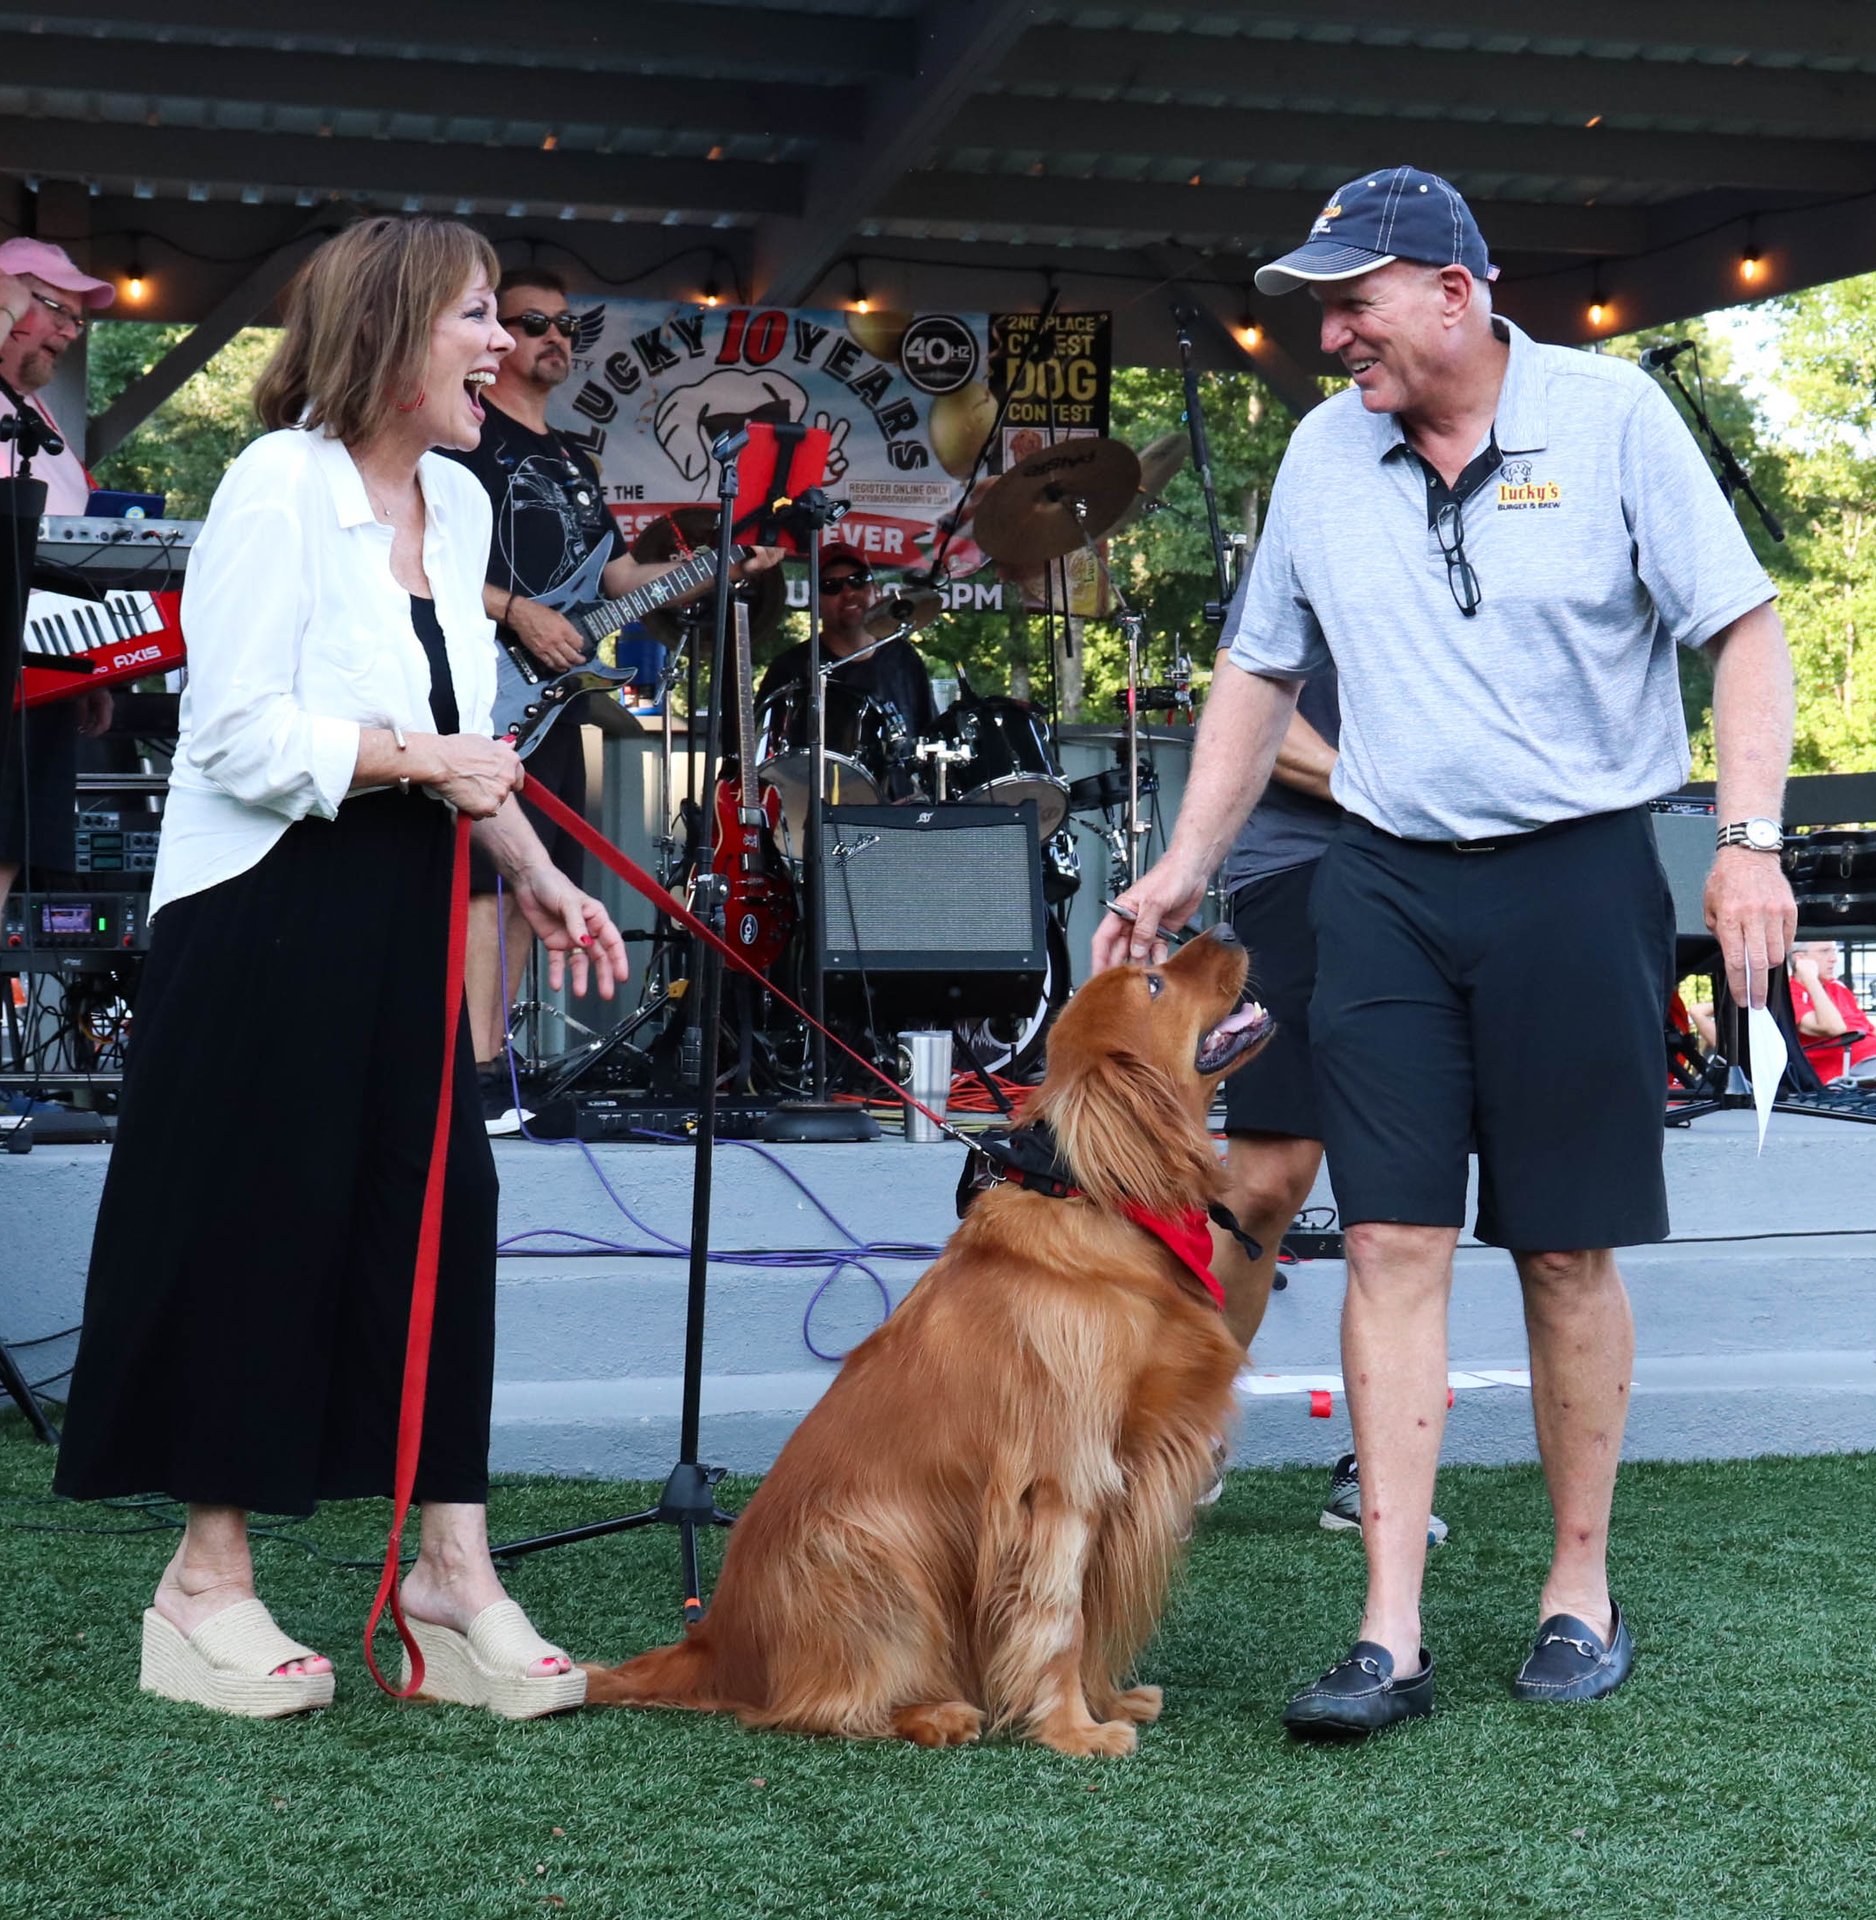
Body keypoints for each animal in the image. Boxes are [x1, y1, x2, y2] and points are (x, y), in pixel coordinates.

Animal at [579, 925, 1267, 1758]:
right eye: (1155, 984)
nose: (1225, 927)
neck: (1103, 1198)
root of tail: (715, 1642)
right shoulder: (1063, 1479)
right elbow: (1061, 1616)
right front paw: (1073, 1729)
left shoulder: (1122, 1476)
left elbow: (1094, 1611)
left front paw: (1108, 1700)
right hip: (875, 1551)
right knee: (815, 1707)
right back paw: (934, 1713)